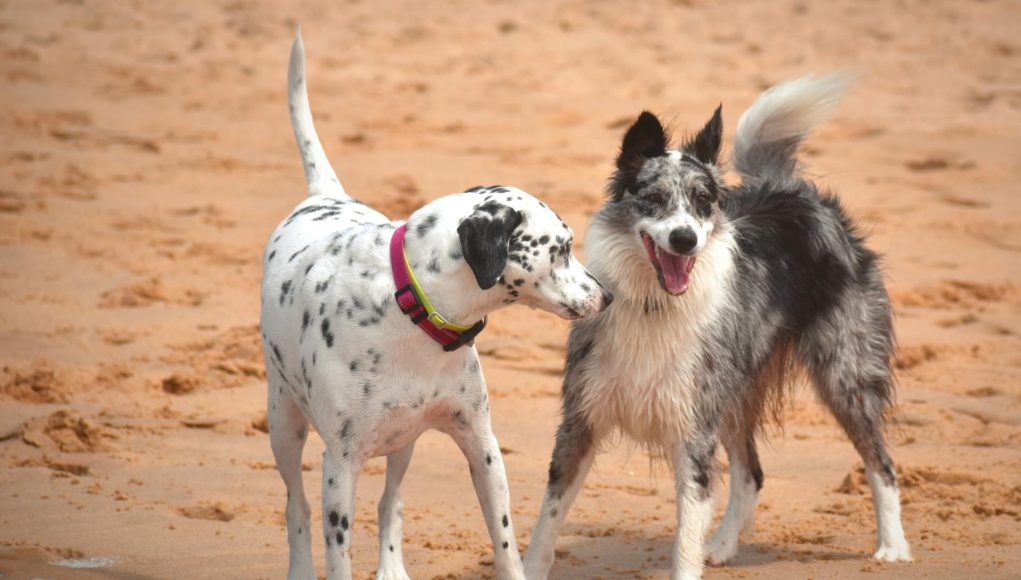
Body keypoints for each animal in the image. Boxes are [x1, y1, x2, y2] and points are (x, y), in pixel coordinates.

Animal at [263, 31, 612, 580]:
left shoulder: (482, 447)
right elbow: (336, 551)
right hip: (283, 423)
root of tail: (324, 196)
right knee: (295, 506)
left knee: (391, 502)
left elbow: (505, 542)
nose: (607, 295)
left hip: (402, 442)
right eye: (562, 247)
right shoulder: (340, 465)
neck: (413, 315)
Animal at [522, 74, 914, 575]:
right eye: (654, 198)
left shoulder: (694, 432)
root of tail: (795, 191)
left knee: (881, 462)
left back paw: (893, 546)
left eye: (703, 201)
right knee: (752, 473)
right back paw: (725, 545)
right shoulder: (580, 419)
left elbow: (685, 538)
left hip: (843, 374)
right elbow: (547, 520)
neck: (655, 305)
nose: (684, 239)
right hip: (733, 392)